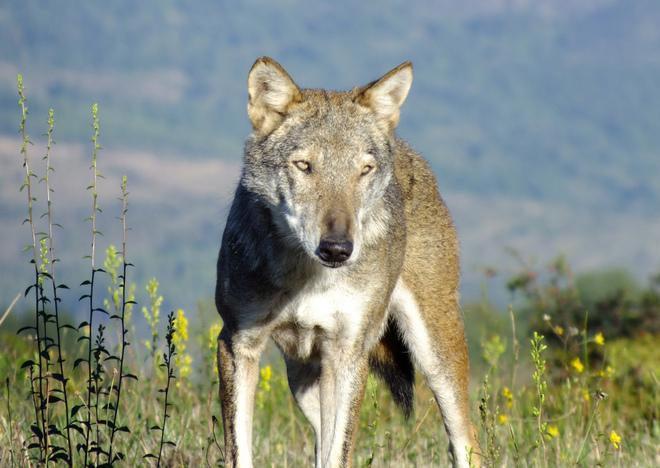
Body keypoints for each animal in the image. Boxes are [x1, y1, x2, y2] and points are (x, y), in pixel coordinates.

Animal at [215, 57, 479, 468]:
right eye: (304, 166)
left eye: (363, 170)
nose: (338, 249)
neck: (308, 277)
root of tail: (406, 148)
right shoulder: (236, 343)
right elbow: (240, 452)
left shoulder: (350, 354)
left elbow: (339, 454)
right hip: (305, 381)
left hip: (436, 357)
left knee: (467, 440)